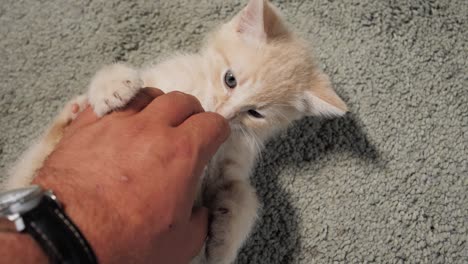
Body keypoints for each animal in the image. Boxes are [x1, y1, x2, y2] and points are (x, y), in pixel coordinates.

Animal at [4, 1, 348, 262]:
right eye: (230, 79)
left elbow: (243, 194)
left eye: (255, 113)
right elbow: (132, 75)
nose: (222, 115)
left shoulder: (233, 163)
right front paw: (112, 86)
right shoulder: (160, 81)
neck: (199, 91)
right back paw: (72, 111)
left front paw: (223, 244)